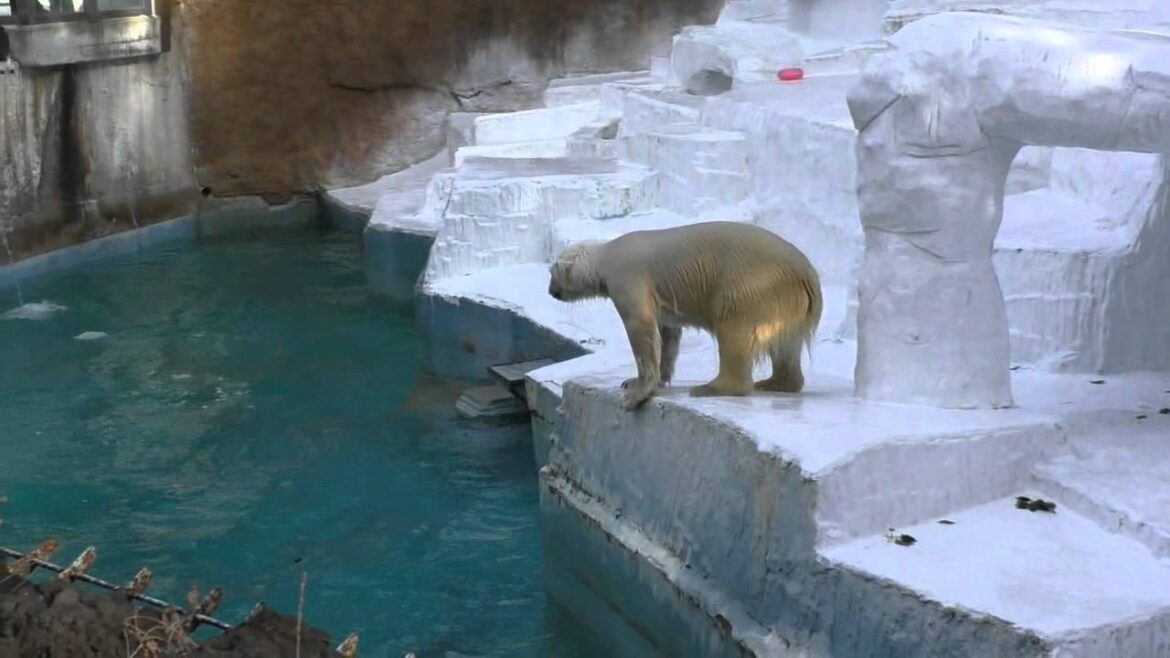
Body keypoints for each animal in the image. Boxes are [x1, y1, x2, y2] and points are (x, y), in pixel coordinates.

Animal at [547, 221, 823, 410]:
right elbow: (667, 332)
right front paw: (642, 380)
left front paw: (634, 394)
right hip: (786, 299)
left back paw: (709, 387)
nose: (550, 292)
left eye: (552, 273)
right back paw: (776, 382)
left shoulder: (626, 278)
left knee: (734, 330)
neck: (606, 255)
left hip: (751, 285)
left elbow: (641, 327)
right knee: (785, 344)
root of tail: (807, 274)